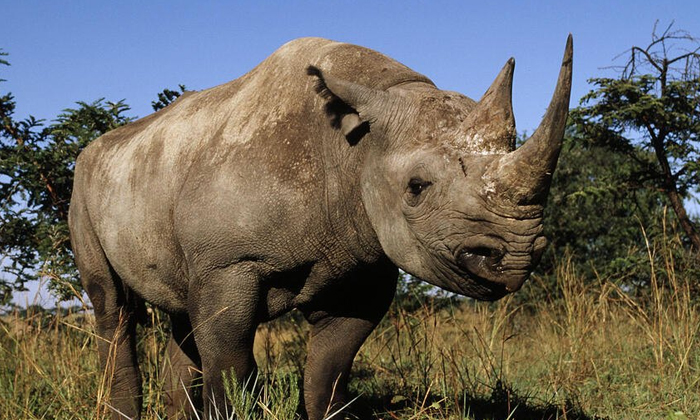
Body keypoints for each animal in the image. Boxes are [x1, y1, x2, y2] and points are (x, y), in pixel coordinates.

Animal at [68, 36, 572, 419]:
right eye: (416, 188)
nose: (517, 256)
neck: (355, 147)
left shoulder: (364, 263)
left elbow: (329, 373)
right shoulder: (228, 262)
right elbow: (230, 365)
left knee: (180, 310)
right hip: (84, 185)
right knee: (113, 307)